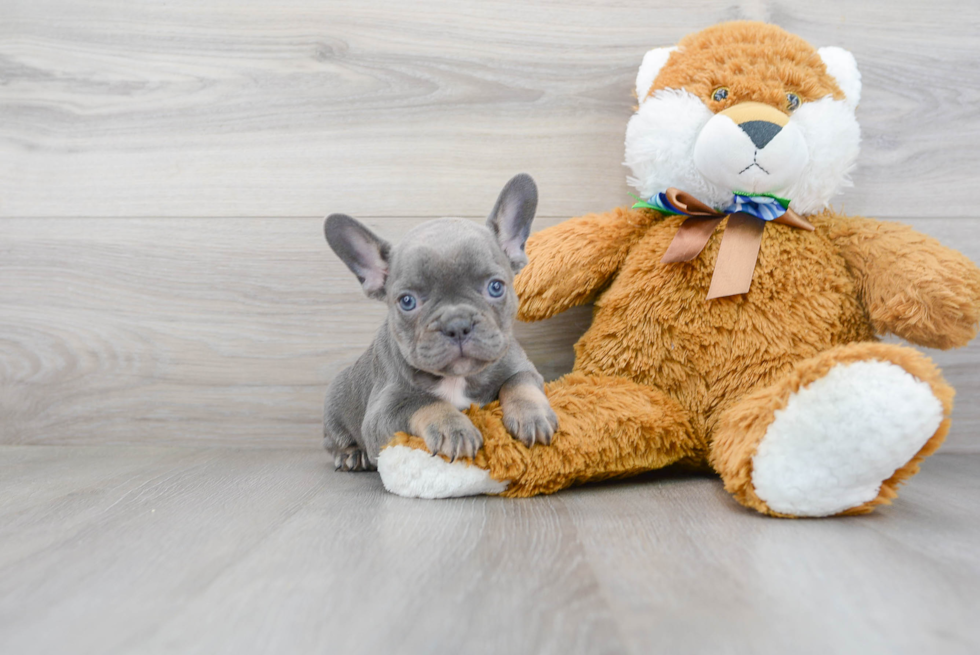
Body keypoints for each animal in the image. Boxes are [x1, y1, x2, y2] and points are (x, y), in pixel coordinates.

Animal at [318, 174, 556, 472]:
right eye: (407, 301)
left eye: (496, 287)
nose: (457, 324)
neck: (456, 378)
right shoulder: (381, 413)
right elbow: (424, 403)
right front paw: (453, 428)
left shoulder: (521, 367)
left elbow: (519, 383)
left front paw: (532, 415)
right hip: (334, 406)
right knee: (335, 442)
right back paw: (352, 455)